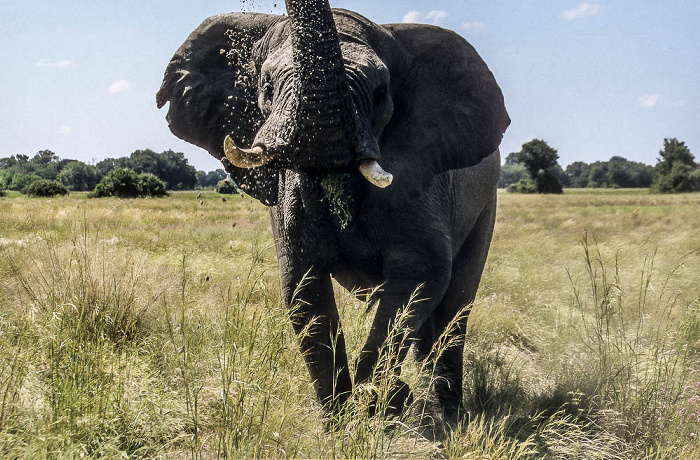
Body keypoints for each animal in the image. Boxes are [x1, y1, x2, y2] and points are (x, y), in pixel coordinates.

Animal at [157, 0, 508, 434]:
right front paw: (339, 425)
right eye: (266, 87)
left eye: (380, 93)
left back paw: (446, 412)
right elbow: (303, 286)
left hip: (486, 203)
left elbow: (420, 277)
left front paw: (376, 408)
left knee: (455, 305)